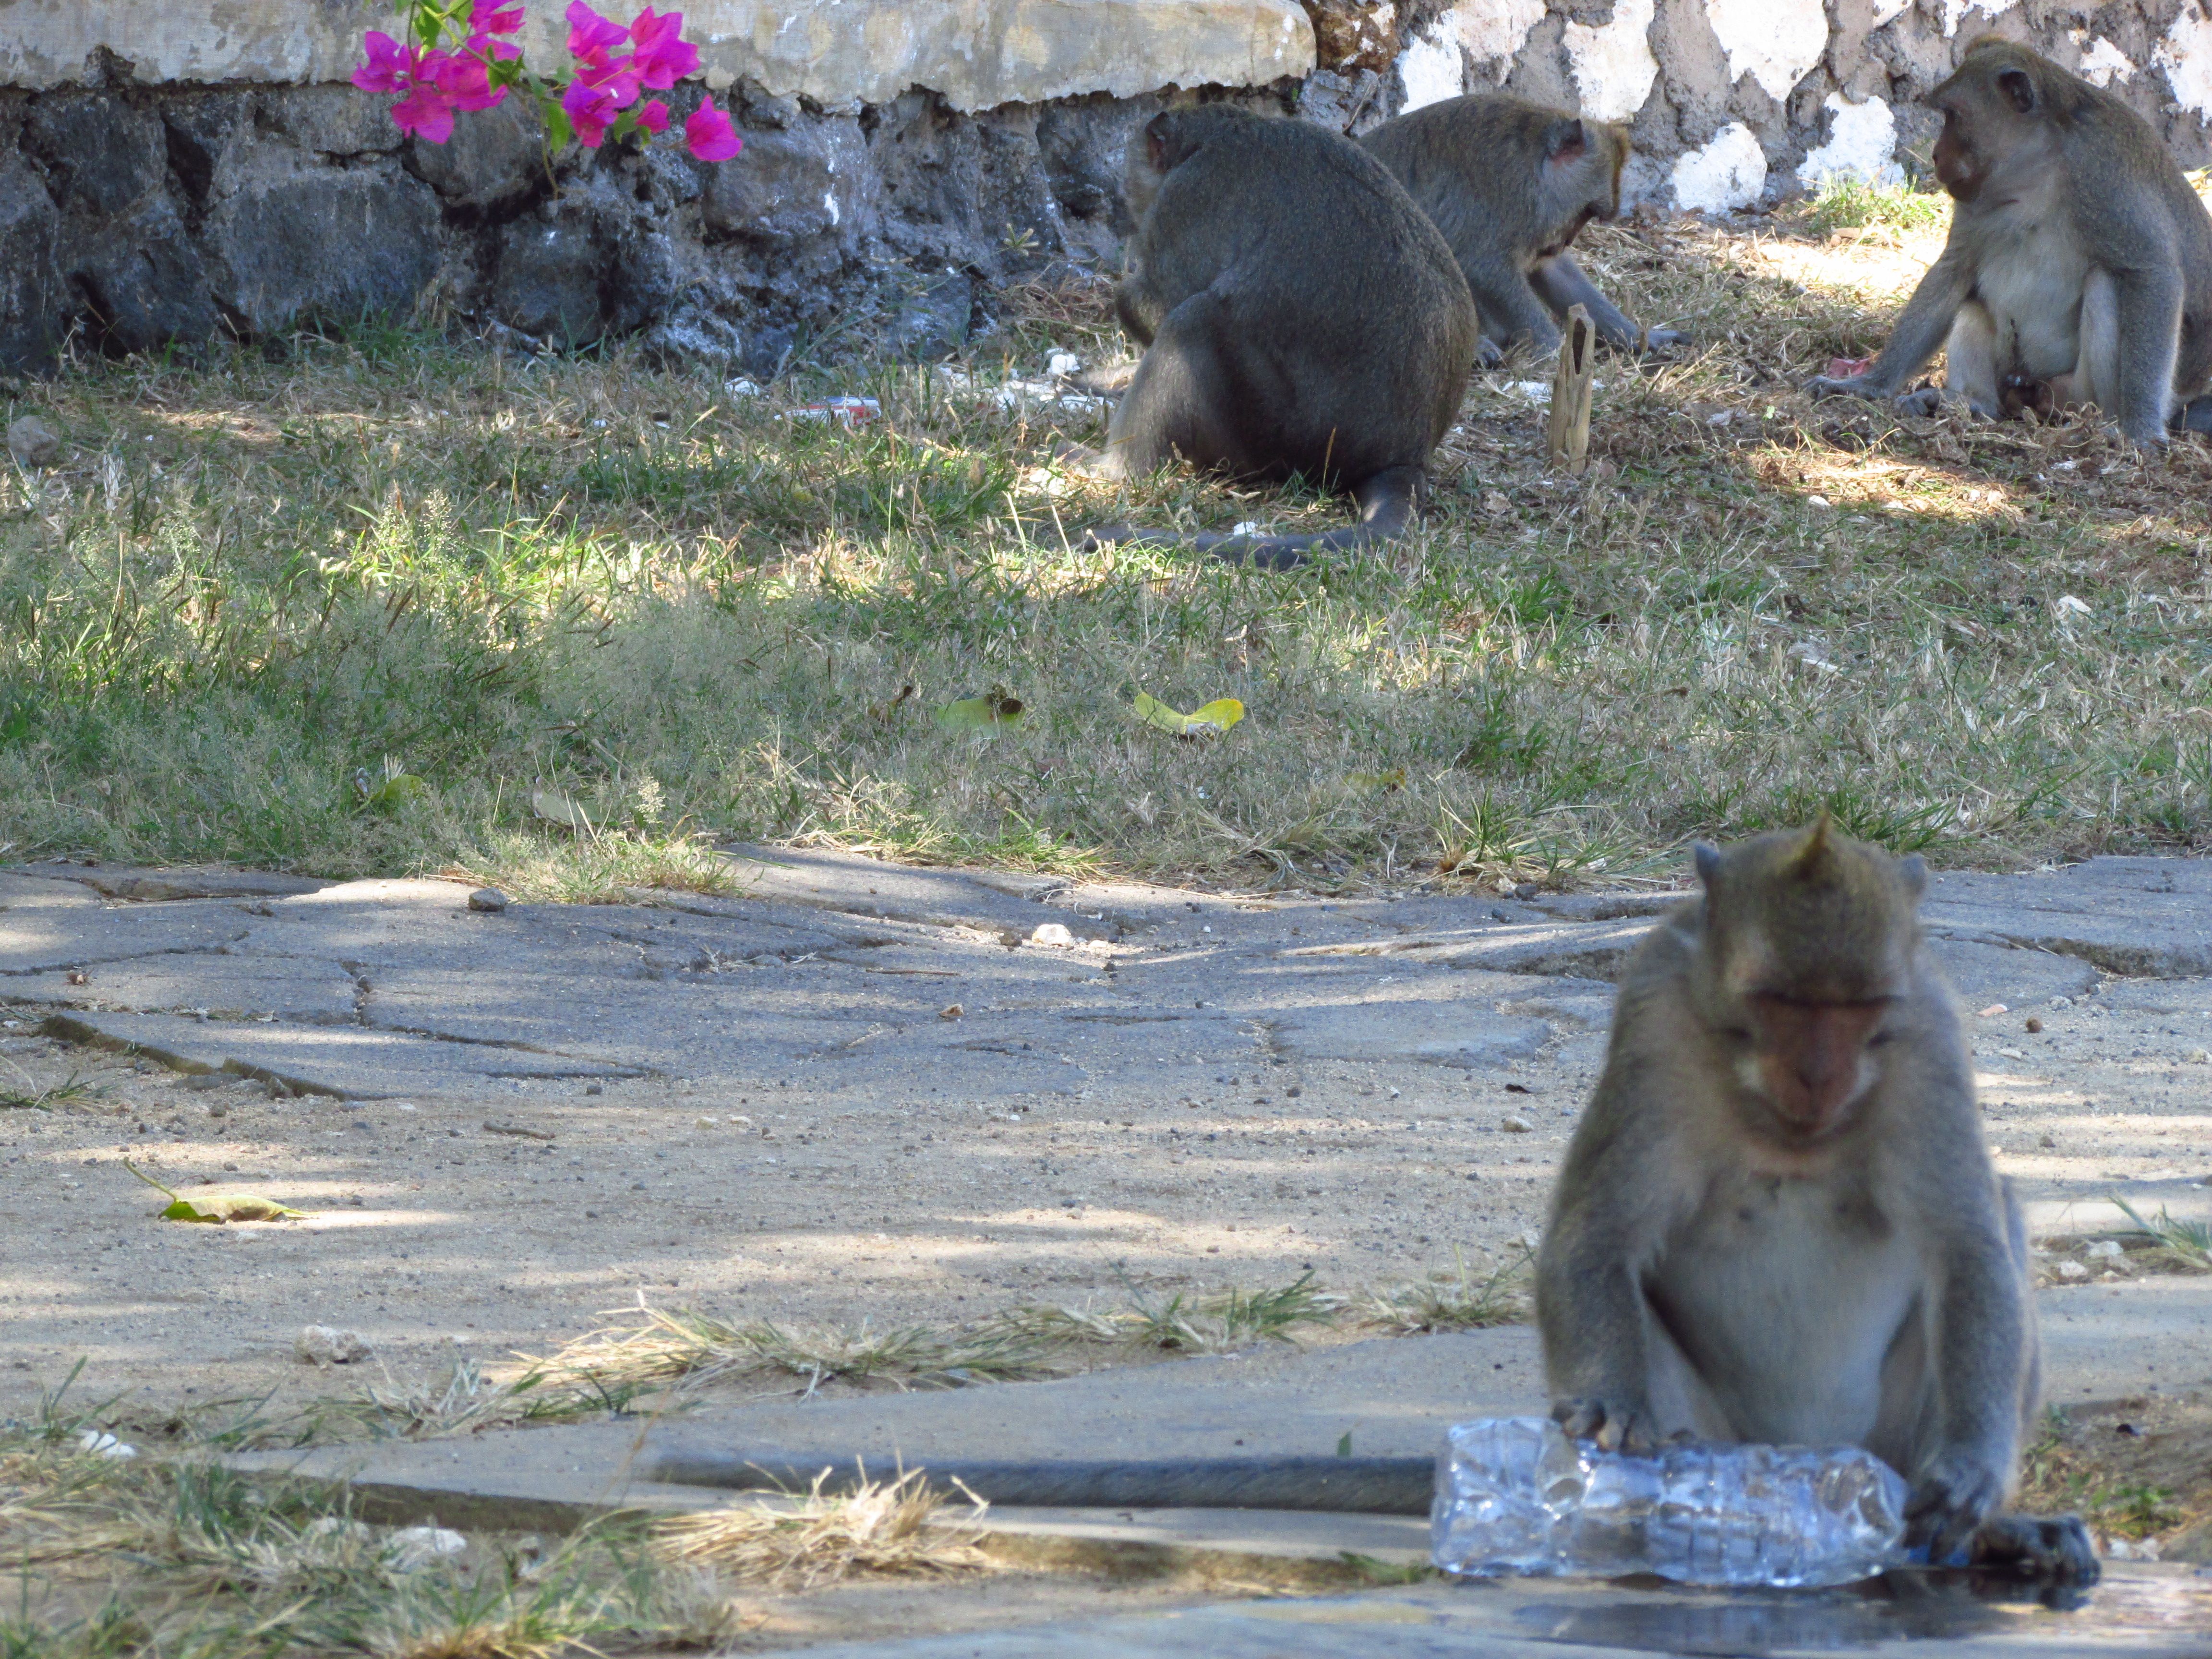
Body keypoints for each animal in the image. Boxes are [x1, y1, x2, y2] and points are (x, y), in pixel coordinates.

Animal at [1067, 104, 1481, 571]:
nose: (1125, 211)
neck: (1215, 133)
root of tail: (1406, 455)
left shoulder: (1188, 198)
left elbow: (1157, 302)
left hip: (1276, 436)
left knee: (1192, 321)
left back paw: (1110, 469)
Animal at [1359, 94, 1686, 363]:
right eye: (1586, 211)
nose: (1567, 241)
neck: (1533, 165)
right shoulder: (1507, 200)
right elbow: (1484, 269)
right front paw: (1555, 350)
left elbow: (1554, 272)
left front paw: (1636, 337)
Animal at [1536, 819, 2098, 1584]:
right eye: (1784, 1002)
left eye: (1858, 1008)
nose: (1818, 1075)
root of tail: (1809, 1462)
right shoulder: (1653, 1021)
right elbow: (1596, 1240)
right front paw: (1609, 1408)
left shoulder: (1928, 1030)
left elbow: (1967, 1247)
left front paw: (1971, 1470)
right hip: (1728, 1441)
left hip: (1886, 1446)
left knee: (1998, 1218)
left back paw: (1992, 1534)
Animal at [1806, 37, 2212, 445]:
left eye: (1953, 115)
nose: (1936, 154)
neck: (2037, 162)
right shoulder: (1975, 192)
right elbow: (1954, 268)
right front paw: (1869, 384)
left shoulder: (2104, 169)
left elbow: (2151, 272)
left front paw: (2140, 428)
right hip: (2009, 380)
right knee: (1973, 305)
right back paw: (1973, 404)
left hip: (2074, 389)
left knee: (2105, 284)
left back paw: (2097, 418)